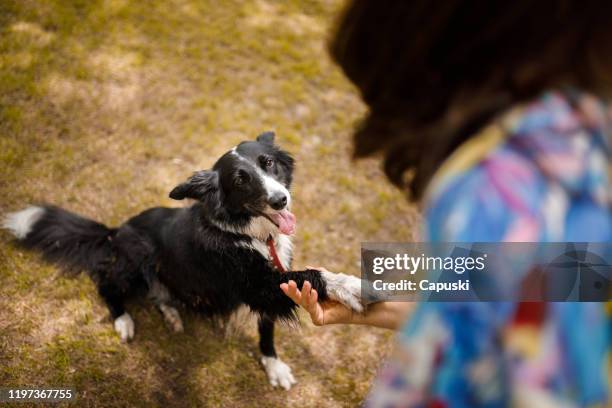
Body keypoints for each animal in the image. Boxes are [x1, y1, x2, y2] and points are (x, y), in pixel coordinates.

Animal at [2, 132, 360, 390]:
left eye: (268, 162)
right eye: (240, 179)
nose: (280, 200)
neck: (251, 234)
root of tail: (114, 231)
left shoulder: (272, 284)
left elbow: (267, 331)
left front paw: (274, 366)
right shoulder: (259, 286)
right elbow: (311, 275)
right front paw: (351, 286)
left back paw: (171, 312)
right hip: (137, 257)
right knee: (106, 284)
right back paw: (124, 320)